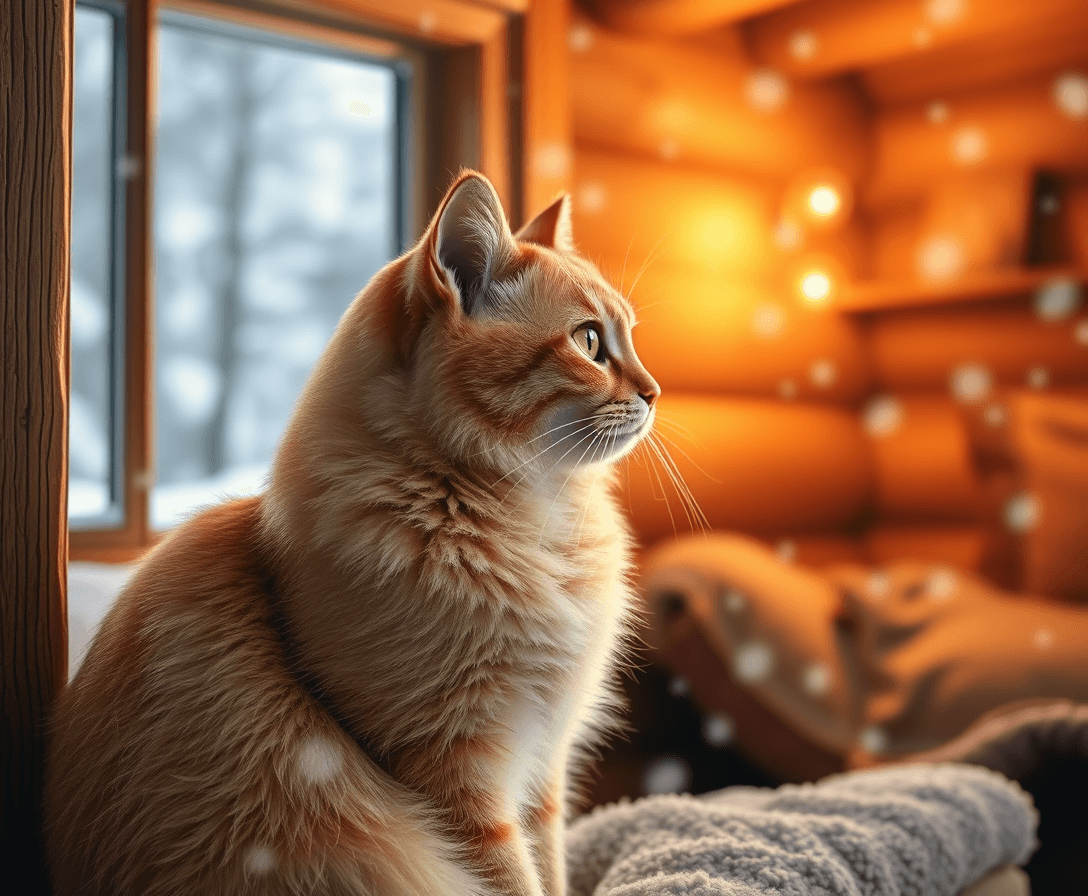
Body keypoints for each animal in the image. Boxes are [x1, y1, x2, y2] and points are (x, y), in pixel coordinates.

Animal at [46, 169, 657, 896]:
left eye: (630, 337)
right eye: (589, 342)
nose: (655, 391)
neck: (529, 526)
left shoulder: (543, 769)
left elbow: (553, 869)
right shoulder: (461, 776)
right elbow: (516, 879)